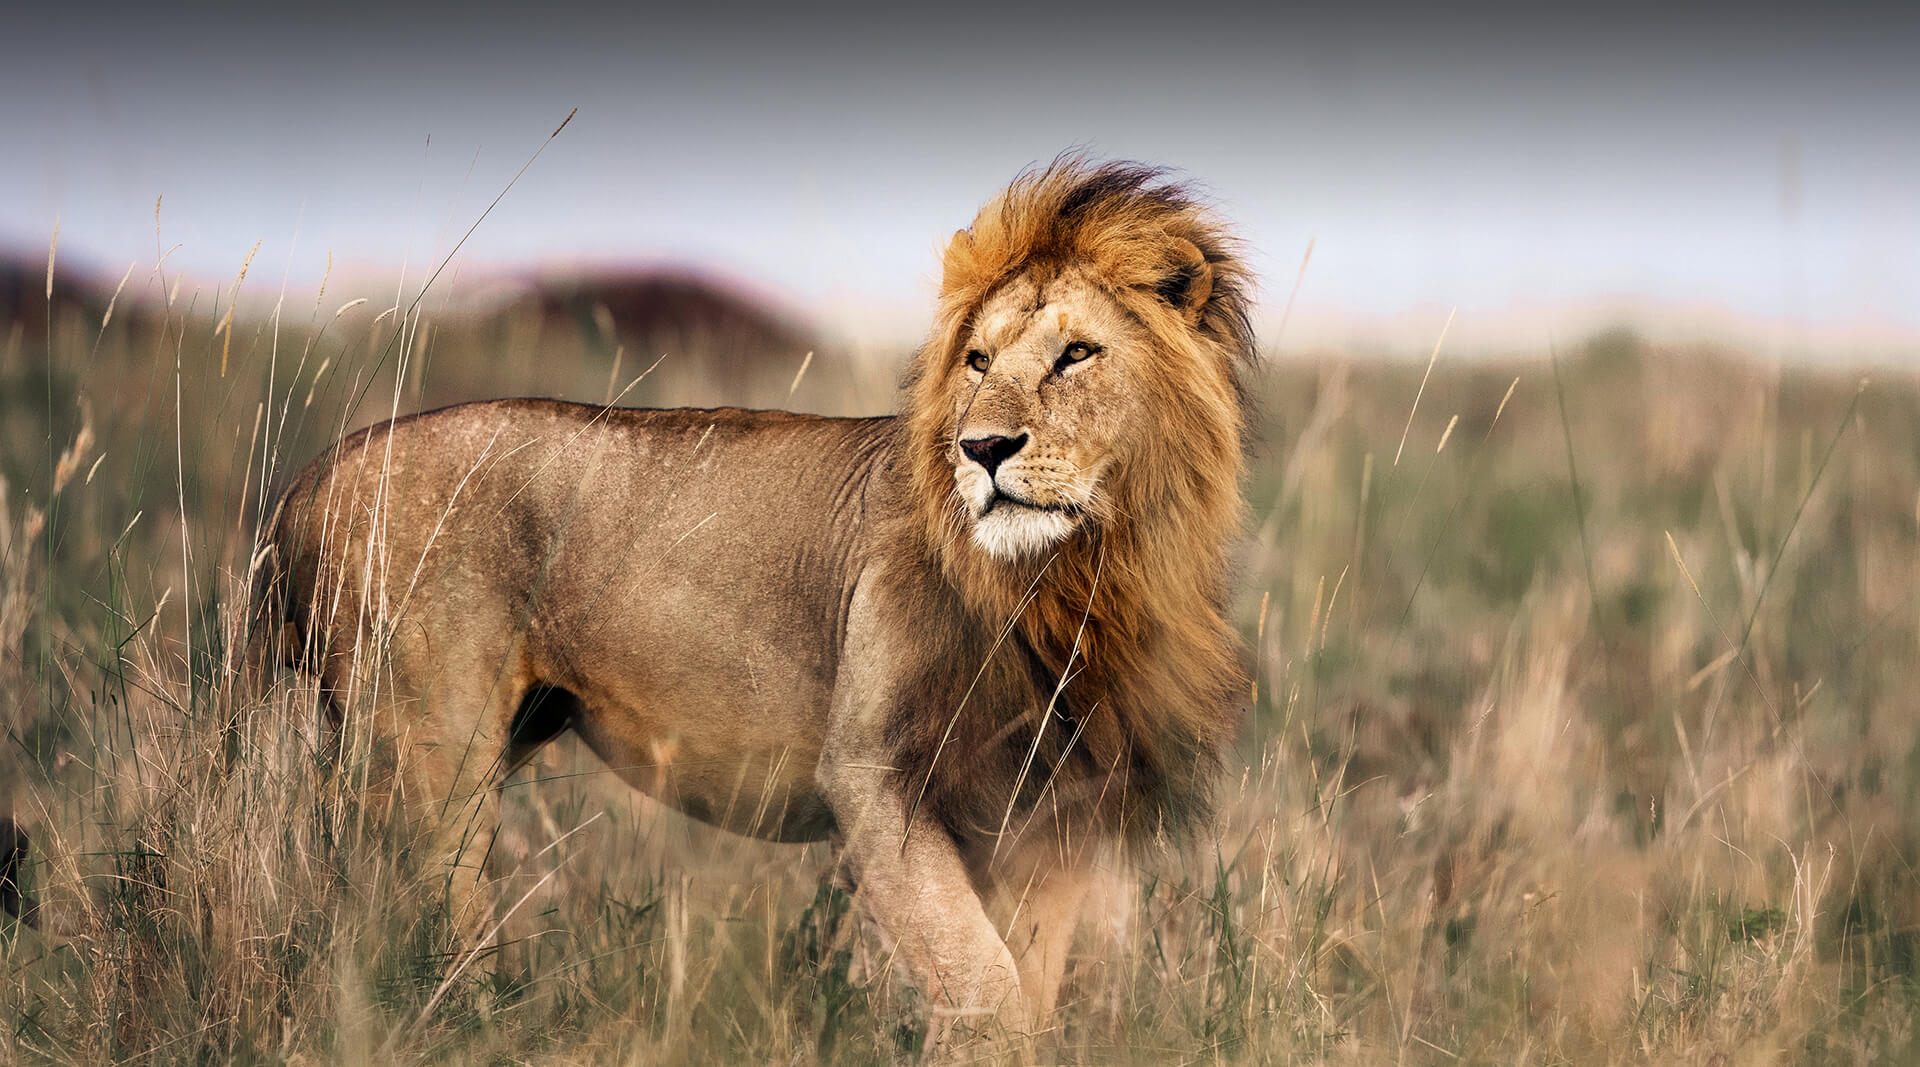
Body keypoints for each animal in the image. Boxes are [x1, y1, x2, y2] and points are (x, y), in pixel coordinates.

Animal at [251, 158, 1254, 1036]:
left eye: (1076, 354)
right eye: (976, 360)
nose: (983, 448)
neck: (1078, 579)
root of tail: (309, 479)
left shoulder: (1057, 814)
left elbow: (1023, 983)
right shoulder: (872, 772)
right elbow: (982, 982)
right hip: (433, 755)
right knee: (412, 924)